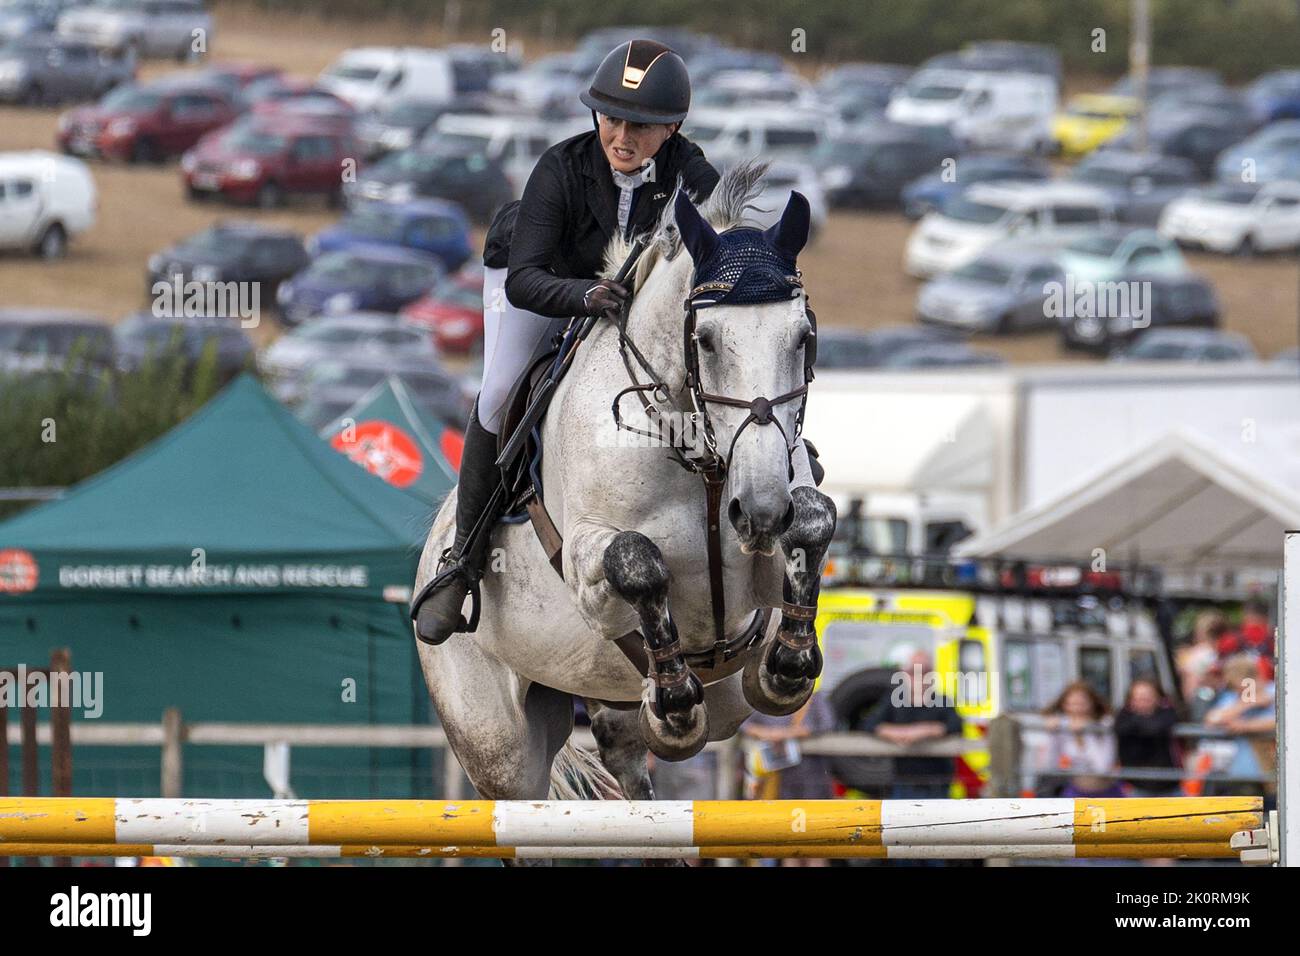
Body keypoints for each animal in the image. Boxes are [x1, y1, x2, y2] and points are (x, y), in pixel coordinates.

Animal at [416, 164, 842, 842]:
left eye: (802, 337)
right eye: (705, 339)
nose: (758, 512)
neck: (703, 456)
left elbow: (813, 521)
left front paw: (790, 663)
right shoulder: (587, 568)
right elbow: (637, 559)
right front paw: (677, 702)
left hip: (626, 703)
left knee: (628, 758)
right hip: (496, 746)